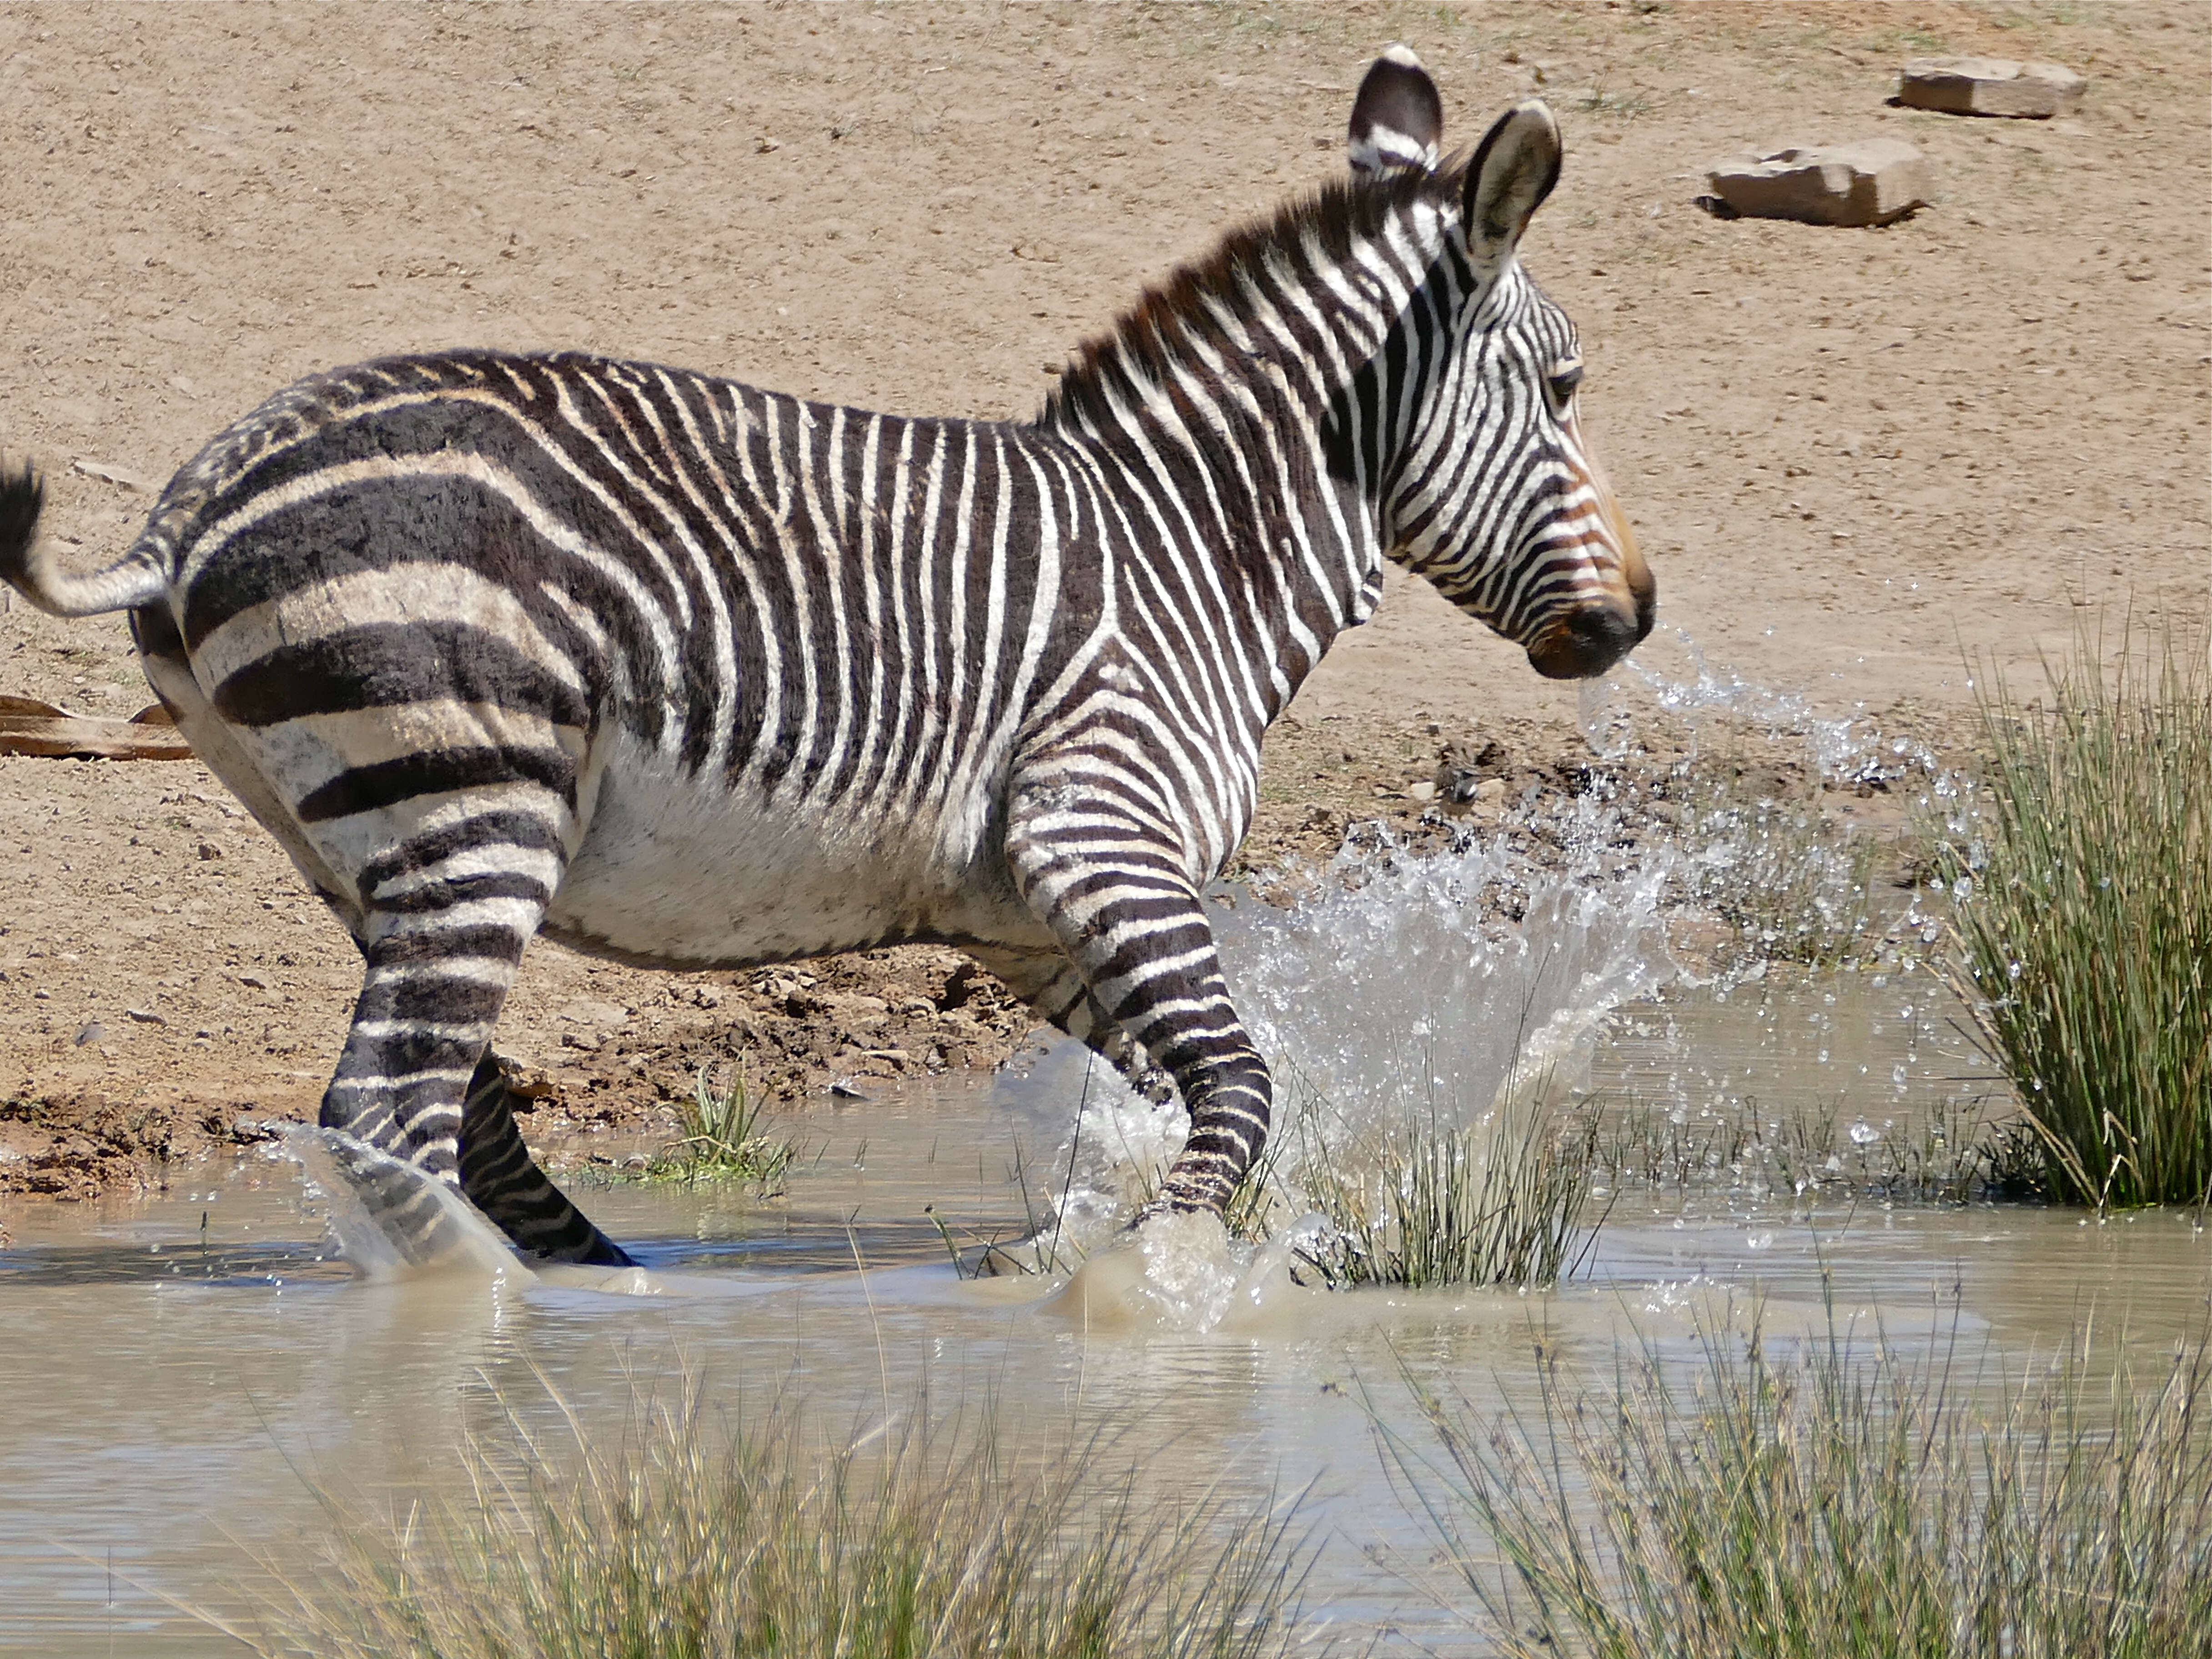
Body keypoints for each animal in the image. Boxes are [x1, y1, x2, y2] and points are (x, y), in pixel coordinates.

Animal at [0, 49, 1645, 1274]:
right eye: (1565, 388)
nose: (1635, 614)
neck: (1190, 549)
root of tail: (195, 501)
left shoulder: (1029, 918)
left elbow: (1205, 1106)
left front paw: (1137, 1260)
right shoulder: (1099, 833)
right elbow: (1240, 1092)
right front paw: (1138, 1287)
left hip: (362, 842)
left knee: (458, 1119)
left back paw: (594, 1287)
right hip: (475, 807)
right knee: (386, 1109)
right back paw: (490, 1320)